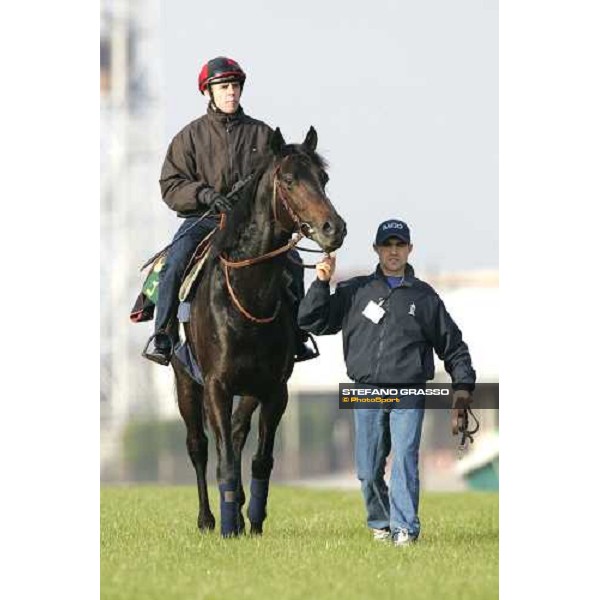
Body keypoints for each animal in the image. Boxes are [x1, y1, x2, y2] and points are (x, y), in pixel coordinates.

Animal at [170, 127, 346, 540]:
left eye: (323, 178)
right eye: (289, 180)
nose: (334, 228)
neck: (247, 296)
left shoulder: (274, 389)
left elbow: (261, 459)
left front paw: (253, 521)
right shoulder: (216, 385)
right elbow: (222, 461)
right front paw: (227, 526)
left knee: (236, 433)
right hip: (185, 380)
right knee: (198, 446)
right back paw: (207, 519)